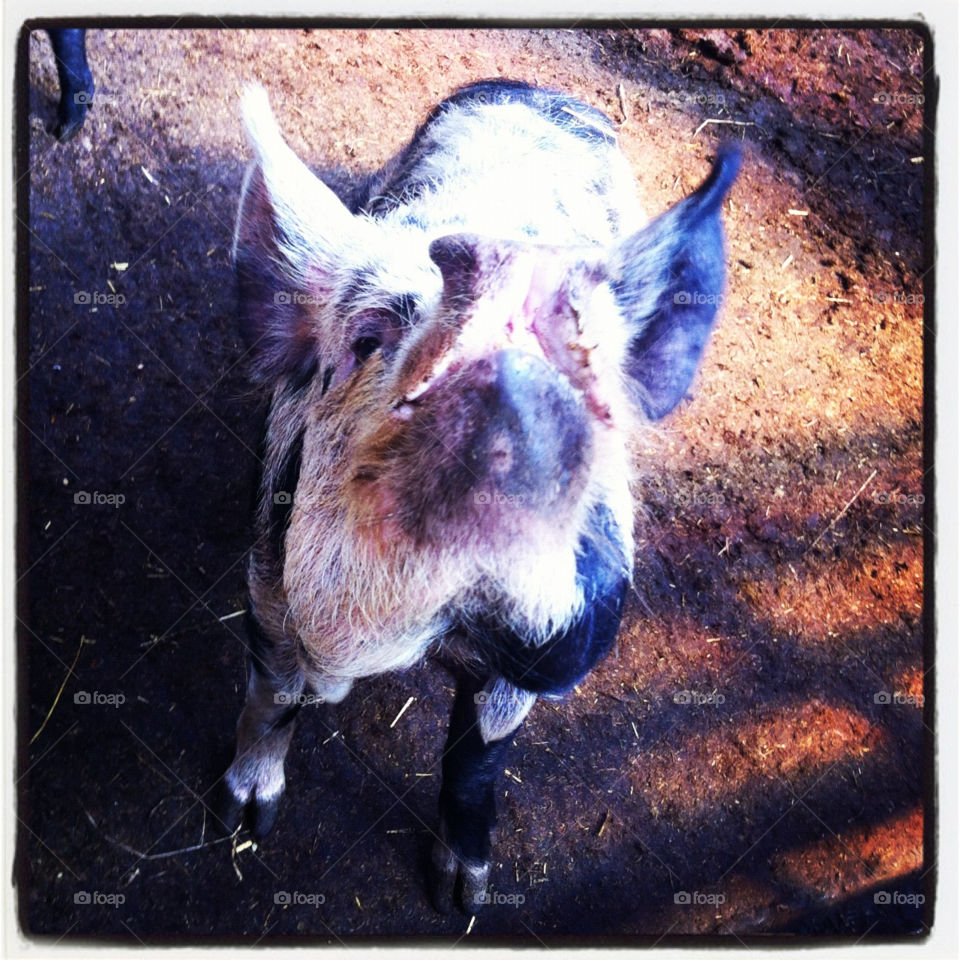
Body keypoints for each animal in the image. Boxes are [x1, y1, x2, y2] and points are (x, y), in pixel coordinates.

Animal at [218, 79, 739, 913]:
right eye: (369, 341)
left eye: (594, 382)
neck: (419, 639)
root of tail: (544, 90)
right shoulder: (265, 570)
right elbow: (272, 693)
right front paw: (243, 819)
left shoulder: (527, 670)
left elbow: (477, 760)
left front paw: (461, 900)